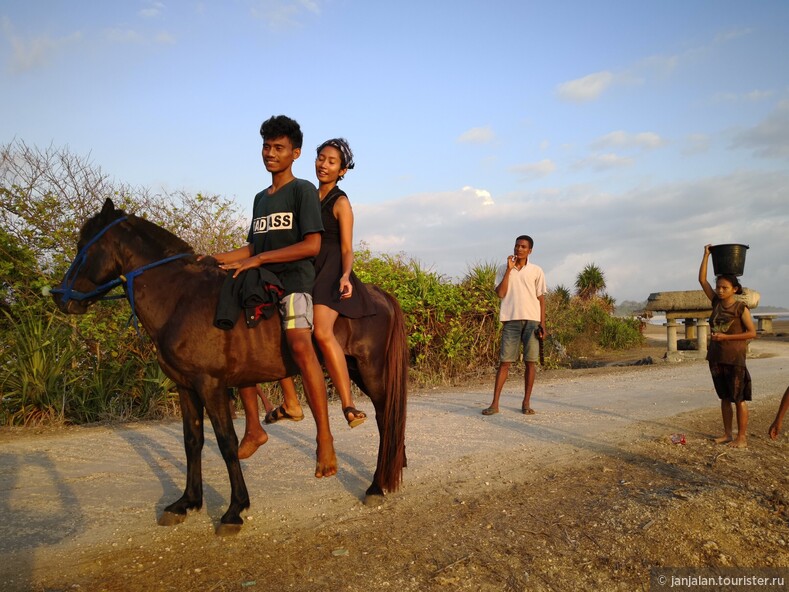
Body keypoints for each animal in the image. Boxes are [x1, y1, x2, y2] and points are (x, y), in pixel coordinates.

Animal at [51, 200, 406, 536]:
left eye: (84, 246)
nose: (60, 297)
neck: (179, 299)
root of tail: (378, 294)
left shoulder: (210, 384)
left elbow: (226, 442)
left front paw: (234, 510)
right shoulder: (186, 386)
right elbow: (192, 441)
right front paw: (186, 502)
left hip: (370, 369)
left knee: (385, 416)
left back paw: (378, 484)